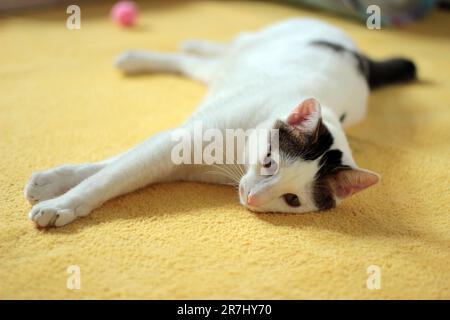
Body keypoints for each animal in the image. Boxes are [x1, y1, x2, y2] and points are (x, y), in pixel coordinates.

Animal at [24, 18, 416, 228]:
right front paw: (58, 198)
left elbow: (115, 168)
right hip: (247, 50)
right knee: (212, 52)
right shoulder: (176, 139)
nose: (254, 198)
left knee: (202, 61)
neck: (236, 155)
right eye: (270, 162)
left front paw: (55, 191)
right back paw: (150, 54)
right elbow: (108, 175)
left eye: (292, 200)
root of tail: (358, 53)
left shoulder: (175, 157)